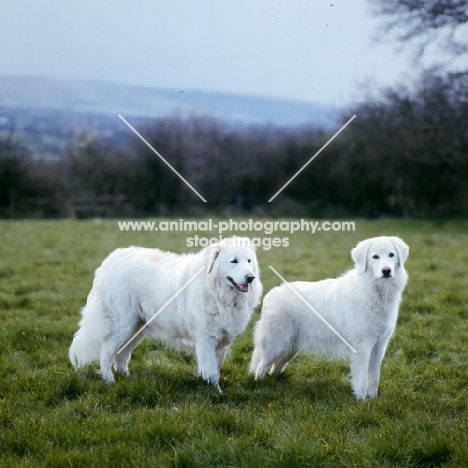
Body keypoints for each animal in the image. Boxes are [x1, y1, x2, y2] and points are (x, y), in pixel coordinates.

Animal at [70, 236, 262, 390]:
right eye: (234, 261)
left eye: (249, 261)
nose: (250, 277)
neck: (217, 291)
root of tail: (109, 261)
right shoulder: (207, 337)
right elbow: (212, 370)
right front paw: (217, 393)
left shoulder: (223, 340)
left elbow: (215, 367)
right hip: (122, 326)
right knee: (107, 352)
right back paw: (109, 381)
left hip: (137, 329)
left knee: (122, 355)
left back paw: (127, 380)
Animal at [250, 236, 408, 400]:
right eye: (375, 257)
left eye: (391, 255)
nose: (386, 271)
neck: (375, 291)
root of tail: (271, 293)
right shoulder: (362, 347)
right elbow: (361, 379)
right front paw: (361, 401)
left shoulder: (379, 346)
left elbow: (374, 378)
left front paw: (373, 399)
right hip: (276, 345)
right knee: (261, 367)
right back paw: (260, 387)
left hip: (291, 348)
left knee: (275, 368)